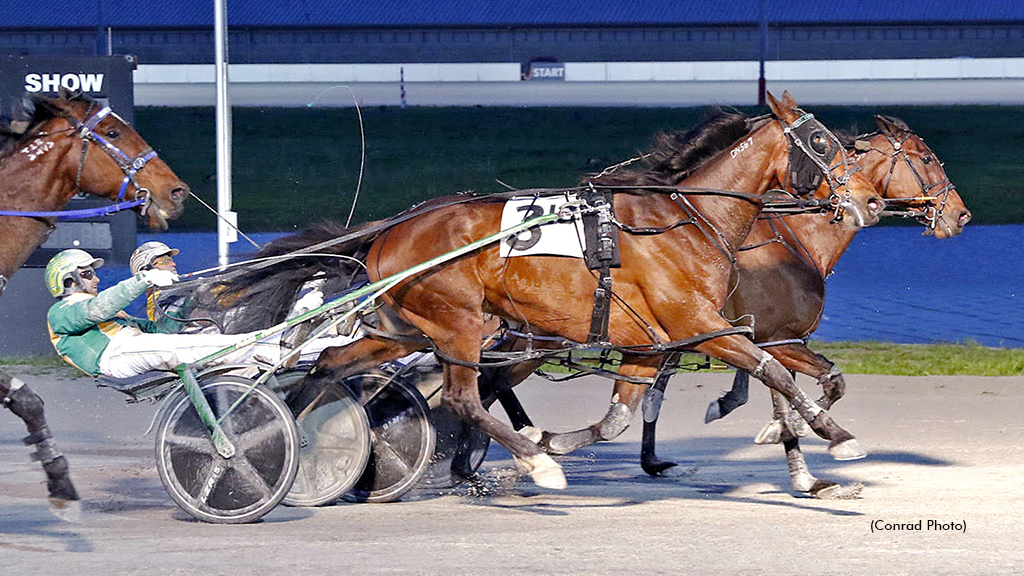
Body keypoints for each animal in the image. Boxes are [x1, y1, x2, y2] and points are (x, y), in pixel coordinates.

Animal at [282, 91, 888, 485]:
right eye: (822, 142)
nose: (871, 201)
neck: (689, 221)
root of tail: (393, 227)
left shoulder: (655, 342)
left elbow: (621, 415)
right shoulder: (703, 326)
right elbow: (775, 372)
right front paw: (836, 437)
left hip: (407, 329)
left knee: (331, 362)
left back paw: (293, 444)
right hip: (460, 324)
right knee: (462, 396)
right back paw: (535, 464)